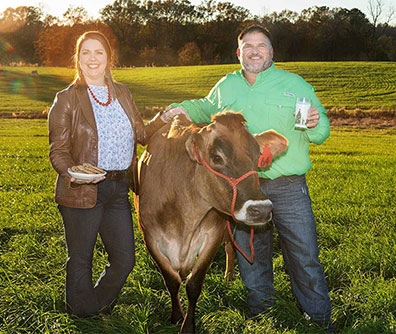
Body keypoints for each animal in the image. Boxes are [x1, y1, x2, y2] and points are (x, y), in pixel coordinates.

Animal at [136, 111, 288, 332]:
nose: (261, 210)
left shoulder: (213, 235)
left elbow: (194, 284)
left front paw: (188, 326)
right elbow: (171, 281)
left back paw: (228, 277)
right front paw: (176, 316)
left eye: (258, 156)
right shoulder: (149, 237)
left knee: (231, 248)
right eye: (217, 157)